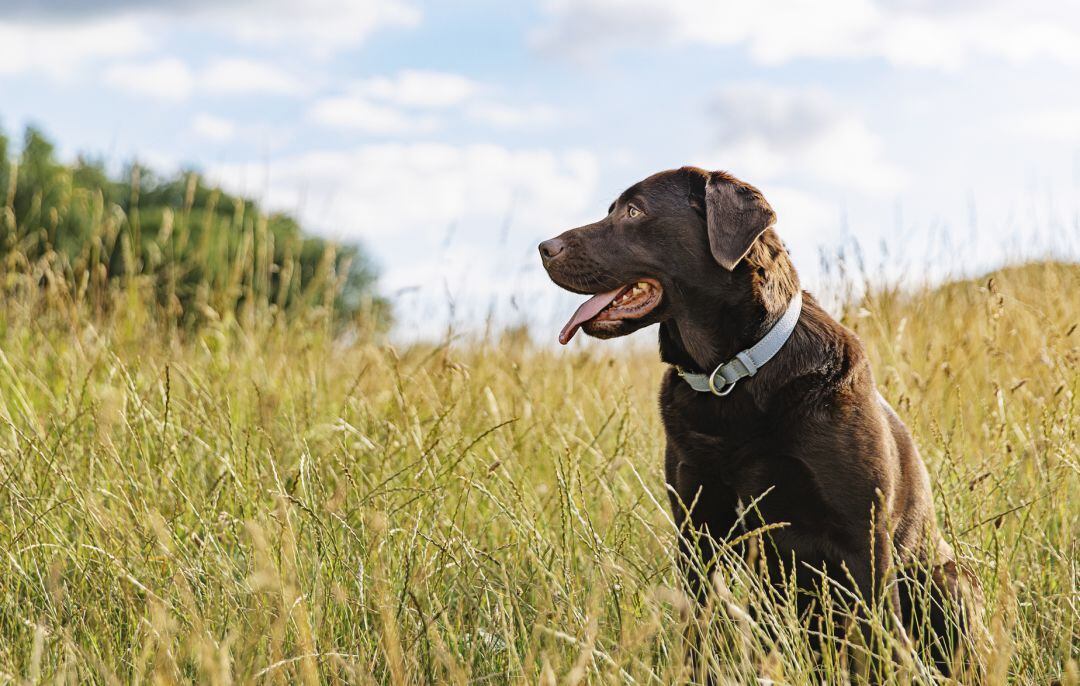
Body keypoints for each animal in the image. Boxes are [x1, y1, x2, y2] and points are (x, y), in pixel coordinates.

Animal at [537, 167, 980, 678]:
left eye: (633, 211)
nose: (543, 247)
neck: (729, 376)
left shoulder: (865, 540)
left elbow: (874, 646)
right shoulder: (698, 537)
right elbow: (699, 635)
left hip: (950, 579)